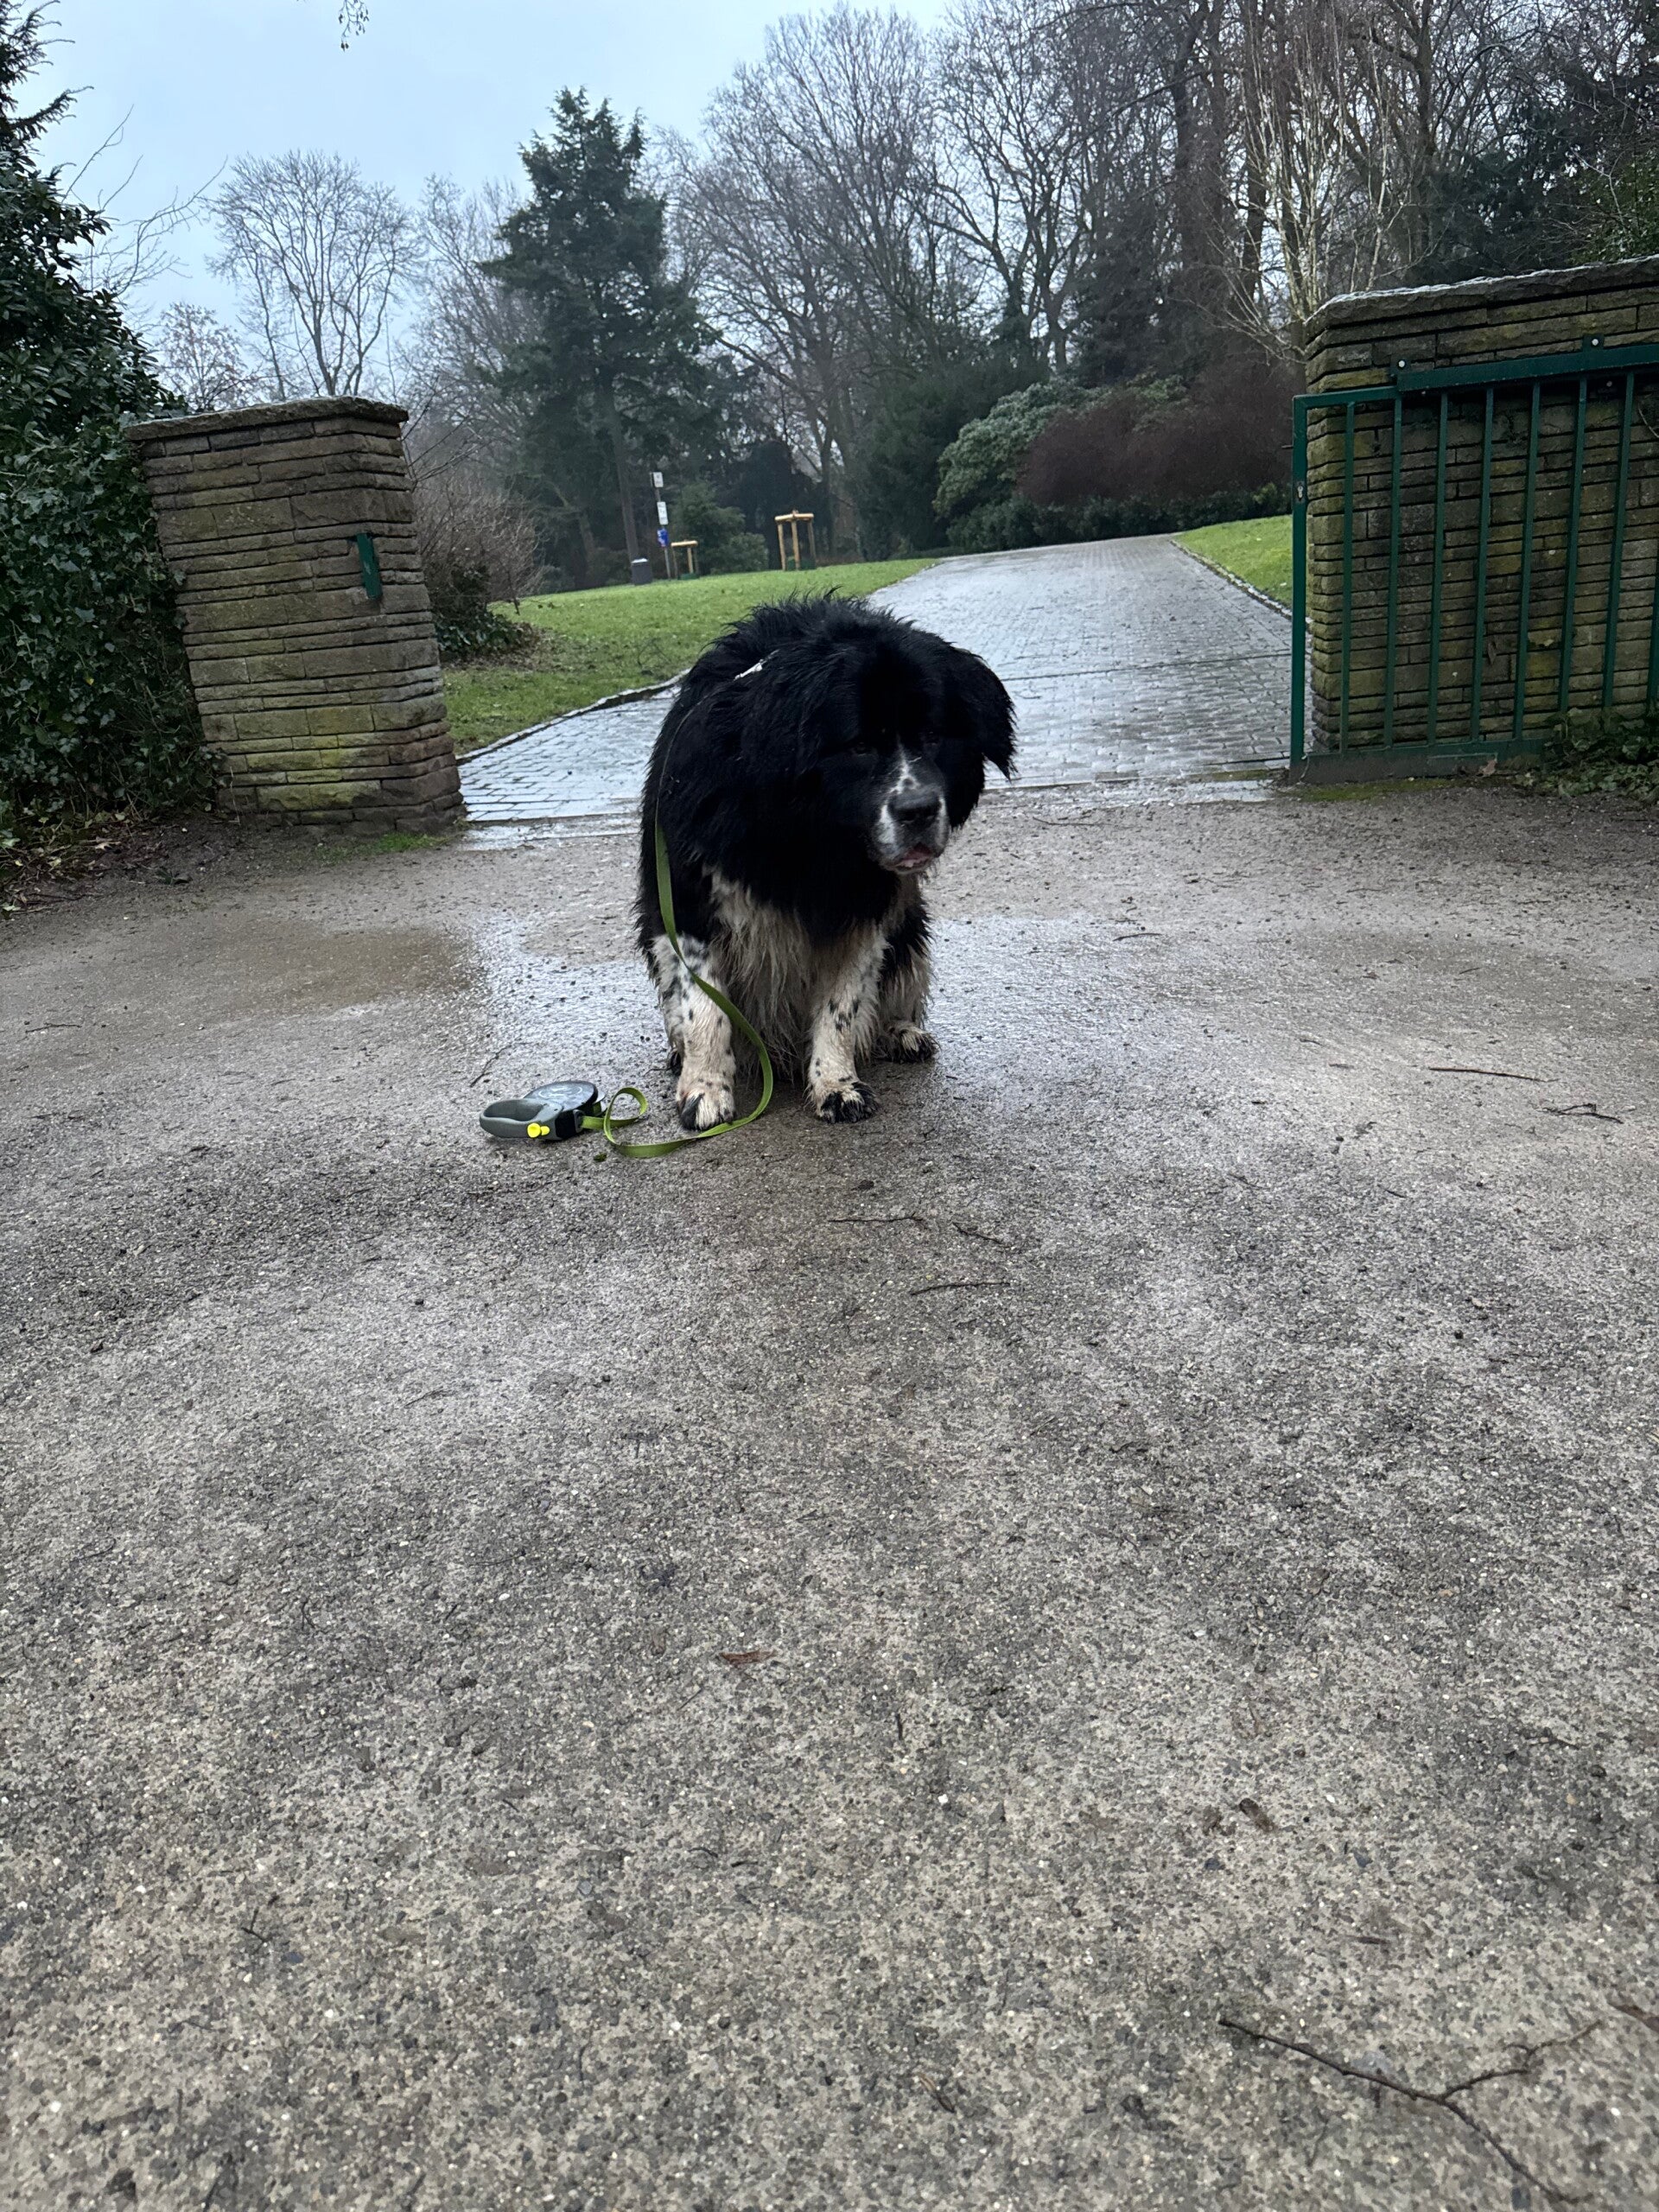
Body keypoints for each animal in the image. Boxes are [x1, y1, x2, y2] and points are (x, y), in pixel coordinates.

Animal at [636, 594, 1015, 1128]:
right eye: (859, 745)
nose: (918, 810)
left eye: (934, 735)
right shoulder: (688, 895)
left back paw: (901, 1032)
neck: (811, 840)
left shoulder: (866, 906)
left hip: (910, 929)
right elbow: (703, 1006)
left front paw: (836, 1084)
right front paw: (705, 1089)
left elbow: (842, 1004)